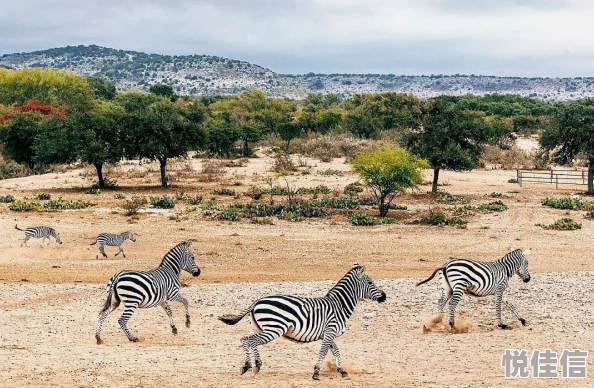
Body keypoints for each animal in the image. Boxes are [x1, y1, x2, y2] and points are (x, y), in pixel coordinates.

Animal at [217, 264, 384, 378]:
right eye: (370, 283)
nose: (384, 296)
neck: (339, 306)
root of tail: (257, 301)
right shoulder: (330, 331)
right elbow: (324, 351)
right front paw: (316, 373)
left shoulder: (328, 334)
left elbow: (335, 350)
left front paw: (341, 371)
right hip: (274, 328)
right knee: (251, 341)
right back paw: (253, 366)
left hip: (261, 327)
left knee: (246, 339)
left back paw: (249, 366)